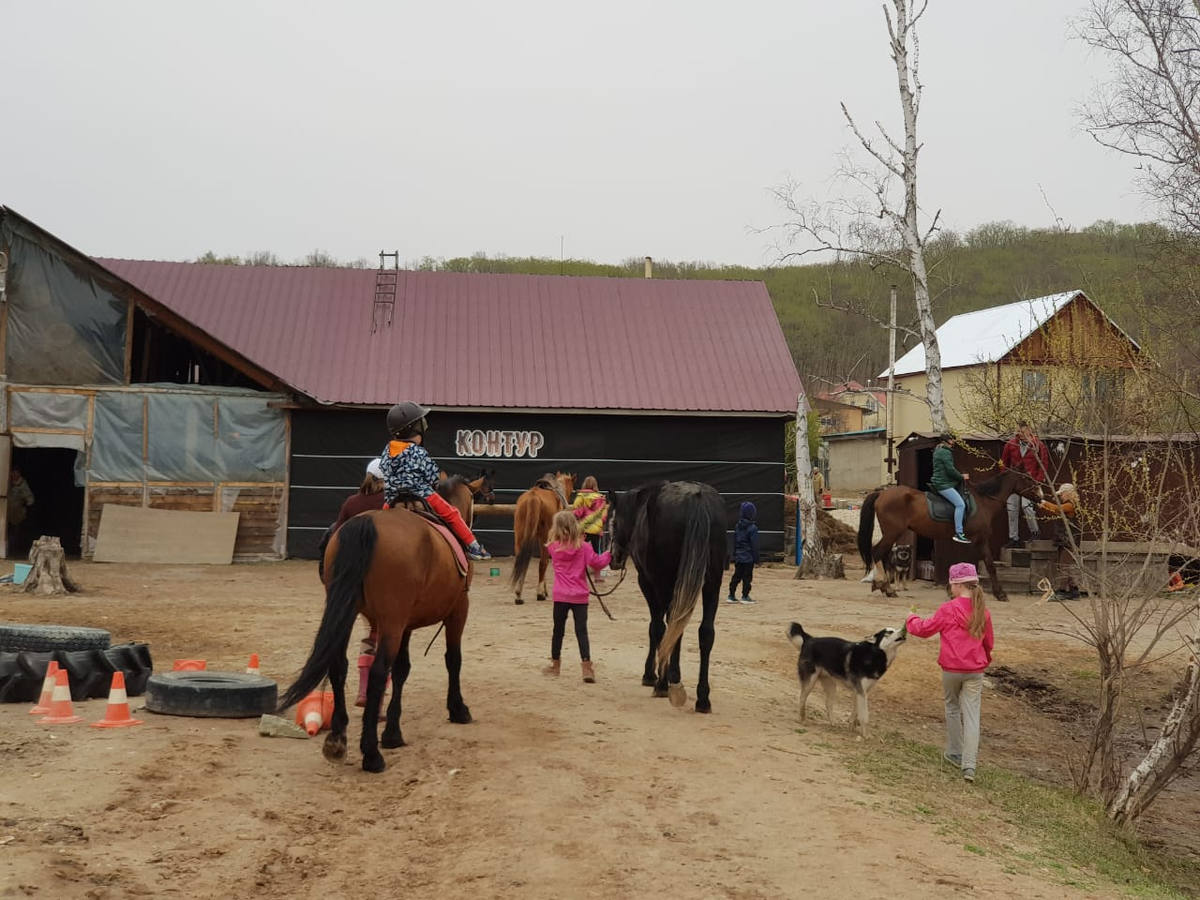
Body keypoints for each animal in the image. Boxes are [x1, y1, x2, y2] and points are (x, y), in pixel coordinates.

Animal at [280, 472, 477, 777]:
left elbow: (402, 670)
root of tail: (366, 524)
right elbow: (452, 659)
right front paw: (457, 708)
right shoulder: (457, 609)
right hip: (392, 621)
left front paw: (393, 732)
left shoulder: (406, 623)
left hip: (350, 614)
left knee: (339, 665)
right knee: (376, 673)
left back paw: (338, 738)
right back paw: (371, 754)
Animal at [511, 472, 576, 607]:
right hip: (544, 536)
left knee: (521, 560)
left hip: (520, 536)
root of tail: (533, 496)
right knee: (542, 563)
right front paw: (544, 591)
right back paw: (540, 593)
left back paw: (519, 594)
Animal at [854, 468, 1041, 602]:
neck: (983, 501)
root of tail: (882, 493)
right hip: (892, 533)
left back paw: (883, 586)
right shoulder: (980, 539)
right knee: (878, 552)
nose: (1041, 496)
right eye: (1028, 479)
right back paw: (885, 587)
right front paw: (1000, 593)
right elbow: (989, 566)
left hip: (890, 534)